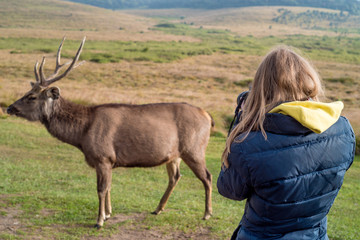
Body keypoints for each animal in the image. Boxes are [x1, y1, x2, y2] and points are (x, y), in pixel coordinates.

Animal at [6, 36, 214, 228]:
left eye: (32, 97)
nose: (9, 108)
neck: (82, 135)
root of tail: (208, 116)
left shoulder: (103, 156)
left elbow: (101, 189)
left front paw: (99, 221)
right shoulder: (109, 160)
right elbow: (109, 188)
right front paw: (108, 213)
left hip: (194, 149)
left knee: (207, 176)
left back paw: (207, 214)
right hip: (174, 155)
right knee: (175, 177)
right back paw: (157, 209)